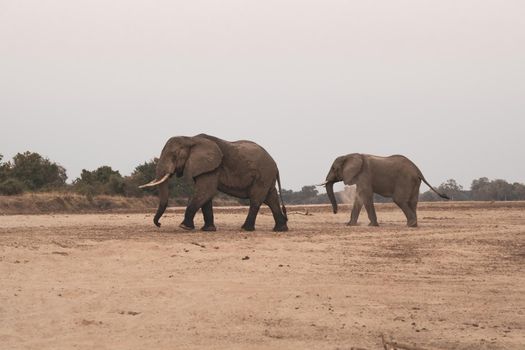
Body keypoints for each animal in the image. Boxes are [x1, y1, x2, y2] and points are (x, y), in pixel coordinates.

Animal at [318, 154, 448, 227]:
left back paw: (410, 225)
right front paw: (350, 225)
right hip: (414, 182)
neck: (350, 155)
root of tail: (418, 170)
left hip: (405, 179)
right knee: (412, 202)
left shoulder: (364, 174)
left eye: (334, 168)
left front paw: (372, 225)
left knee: (399, 200)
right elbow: (359, 197)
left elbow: (365, 195)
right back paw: (413, 224)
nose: (335, 212)